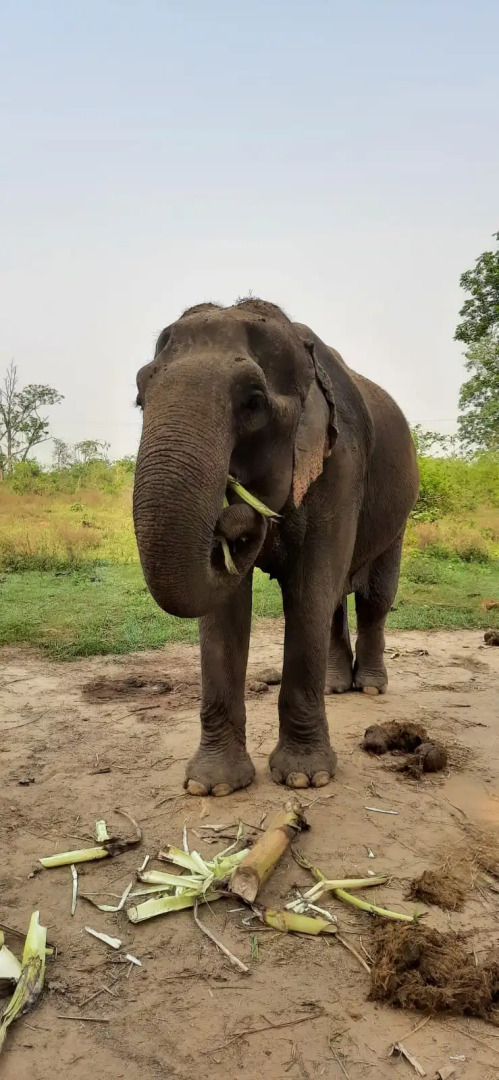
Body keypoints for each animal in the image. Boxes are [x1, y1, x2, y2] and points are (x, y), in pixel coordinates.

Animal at [133, 298, 419, 796]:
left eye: (254, 401)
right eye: (139, 396)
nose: (237, 515)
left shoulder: (341, 464)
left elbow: (308, 591)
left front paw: (305, 778)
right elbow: (225, 608)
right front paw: (212, 786)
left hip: (399, 513)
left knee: (372, 598)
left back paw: (368, 688)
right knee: (335, 601)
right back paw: (335, 687)